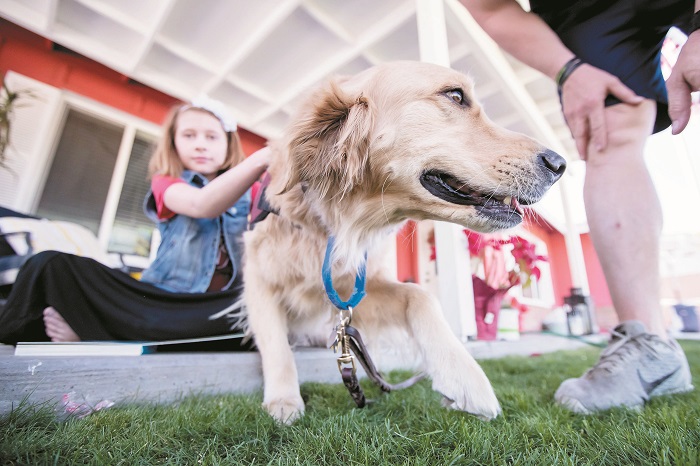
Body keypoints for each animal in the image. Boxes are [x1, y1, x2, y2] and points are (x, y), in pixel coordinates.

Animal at [243, 61, 568, 422]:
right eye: (456, 96)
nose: (560, 164)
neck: (337, 224)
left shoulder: (358, 290)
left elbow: (420, 295)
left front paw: (464, 378)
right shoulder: (258, 276)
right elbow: (274, 341)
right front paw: (284, 399)